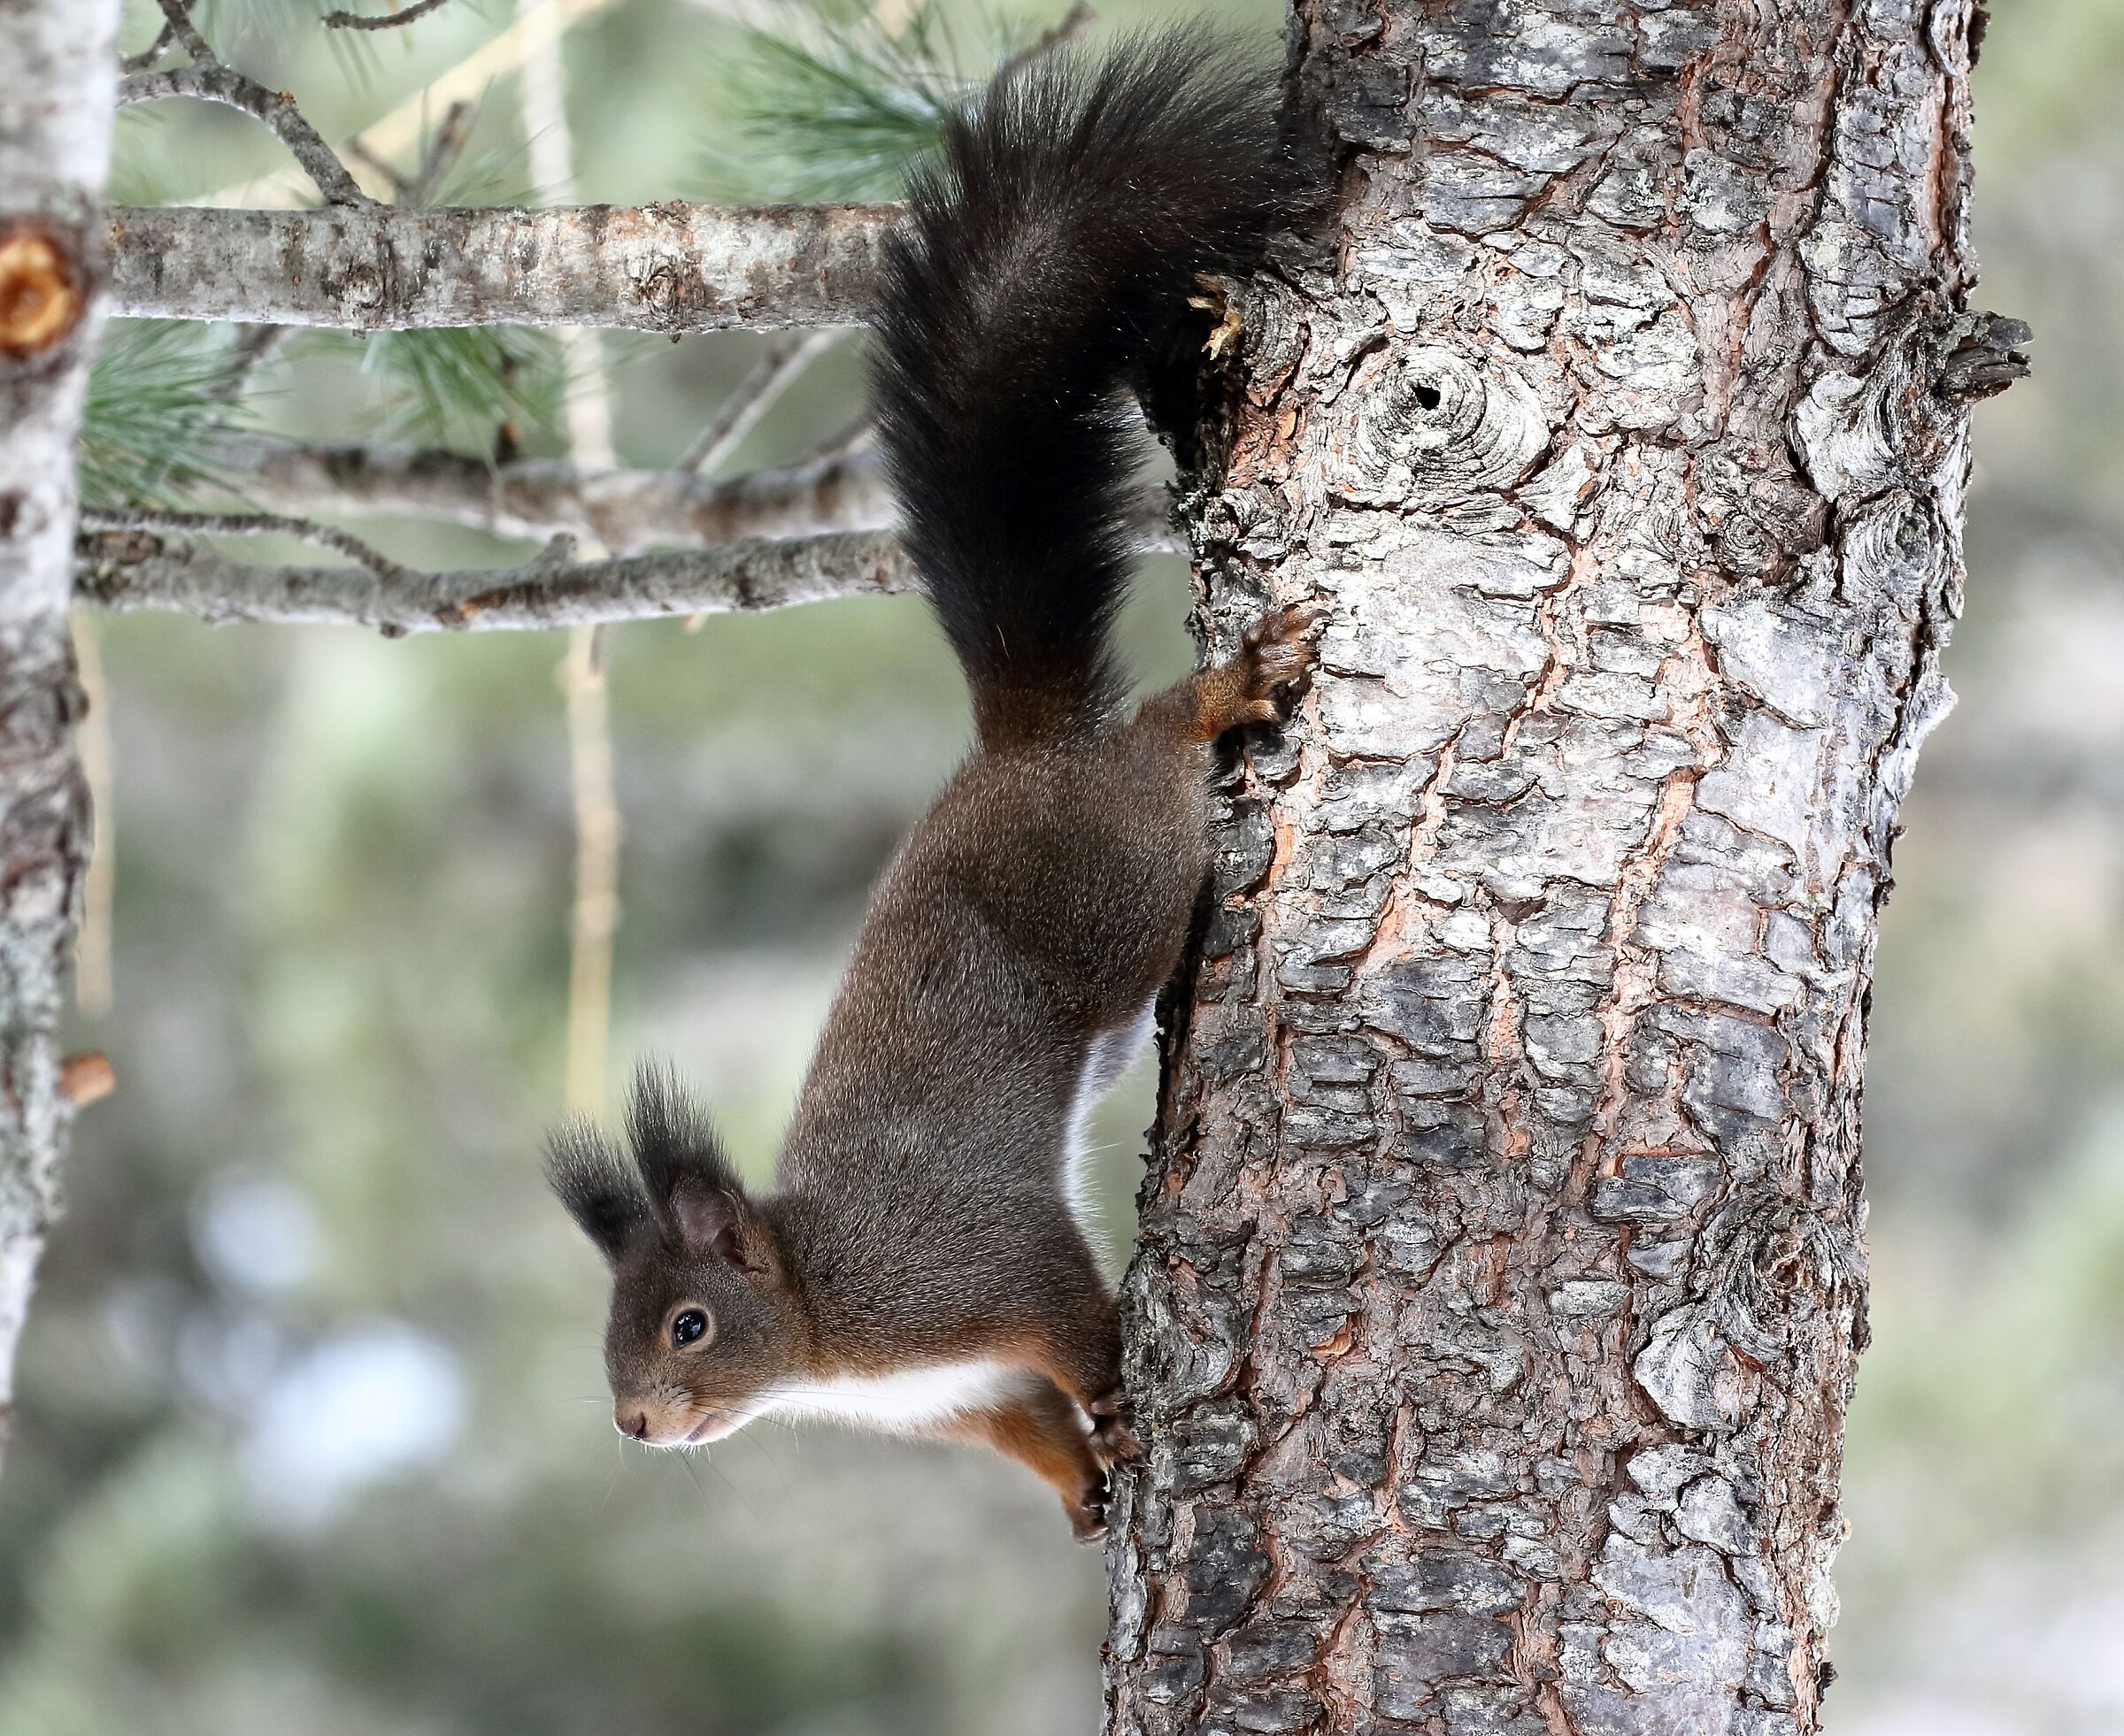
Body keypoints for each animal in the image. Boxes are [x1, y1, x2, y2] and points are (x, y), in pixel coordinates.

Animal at [548, 33, 1317, 1541]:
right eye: (609, 1336)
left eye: (686, 1324)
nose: (632, 1423)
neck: (829, 1324)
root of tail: (1016, 747)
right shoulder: (960, 1397)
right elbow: (1030, 1428)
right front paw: (1085, 1487)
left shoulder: (977, 1268)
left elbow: (1073, 1320)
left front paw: (1124, 1404)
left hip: (1114, 889)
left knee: (1153, 761)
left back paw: (1217, 699)